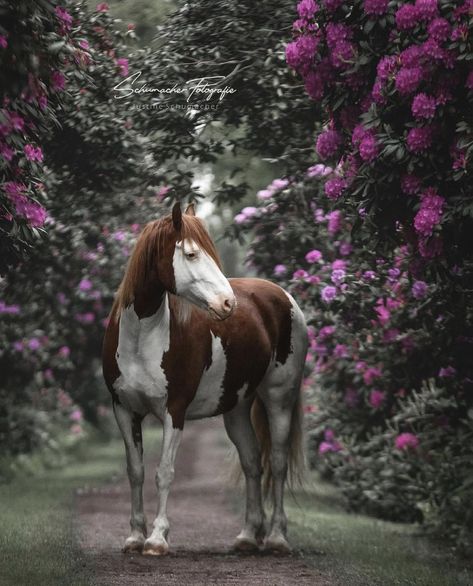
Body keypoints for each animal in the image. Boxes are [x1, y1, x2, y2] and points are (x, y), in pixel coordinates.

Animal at [102, 203, 308, 556]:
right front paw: (134, 536)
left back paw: (277, 538)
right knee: (253, 463)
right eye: (191, 254)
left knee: (278, 463)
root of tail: (282, 296)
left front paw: (157, 539)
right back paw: (247, 537)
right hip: (237, 408)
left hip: (280, 399)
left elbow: (164, 473)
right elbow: (136, 472)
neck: (142, 339)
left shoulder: (174, 411)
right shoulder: (124, 410)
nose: (228, 303)